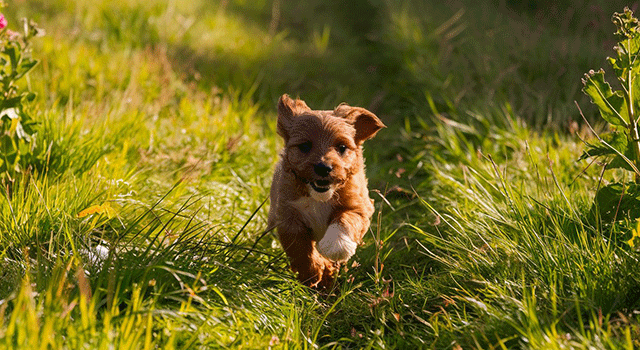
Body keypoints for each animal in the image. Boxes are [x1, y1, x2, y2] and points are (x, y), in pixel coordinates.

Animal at [266, 94, 382, 288]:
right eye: (305, 146)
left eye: (342, 147)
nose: (323, 168)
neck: (319, 197)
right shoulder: (288, 217)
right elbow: (299, 248)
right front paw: (312, 273)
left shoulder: (359, 207)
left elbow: (346, 219)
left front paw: (337, 246)